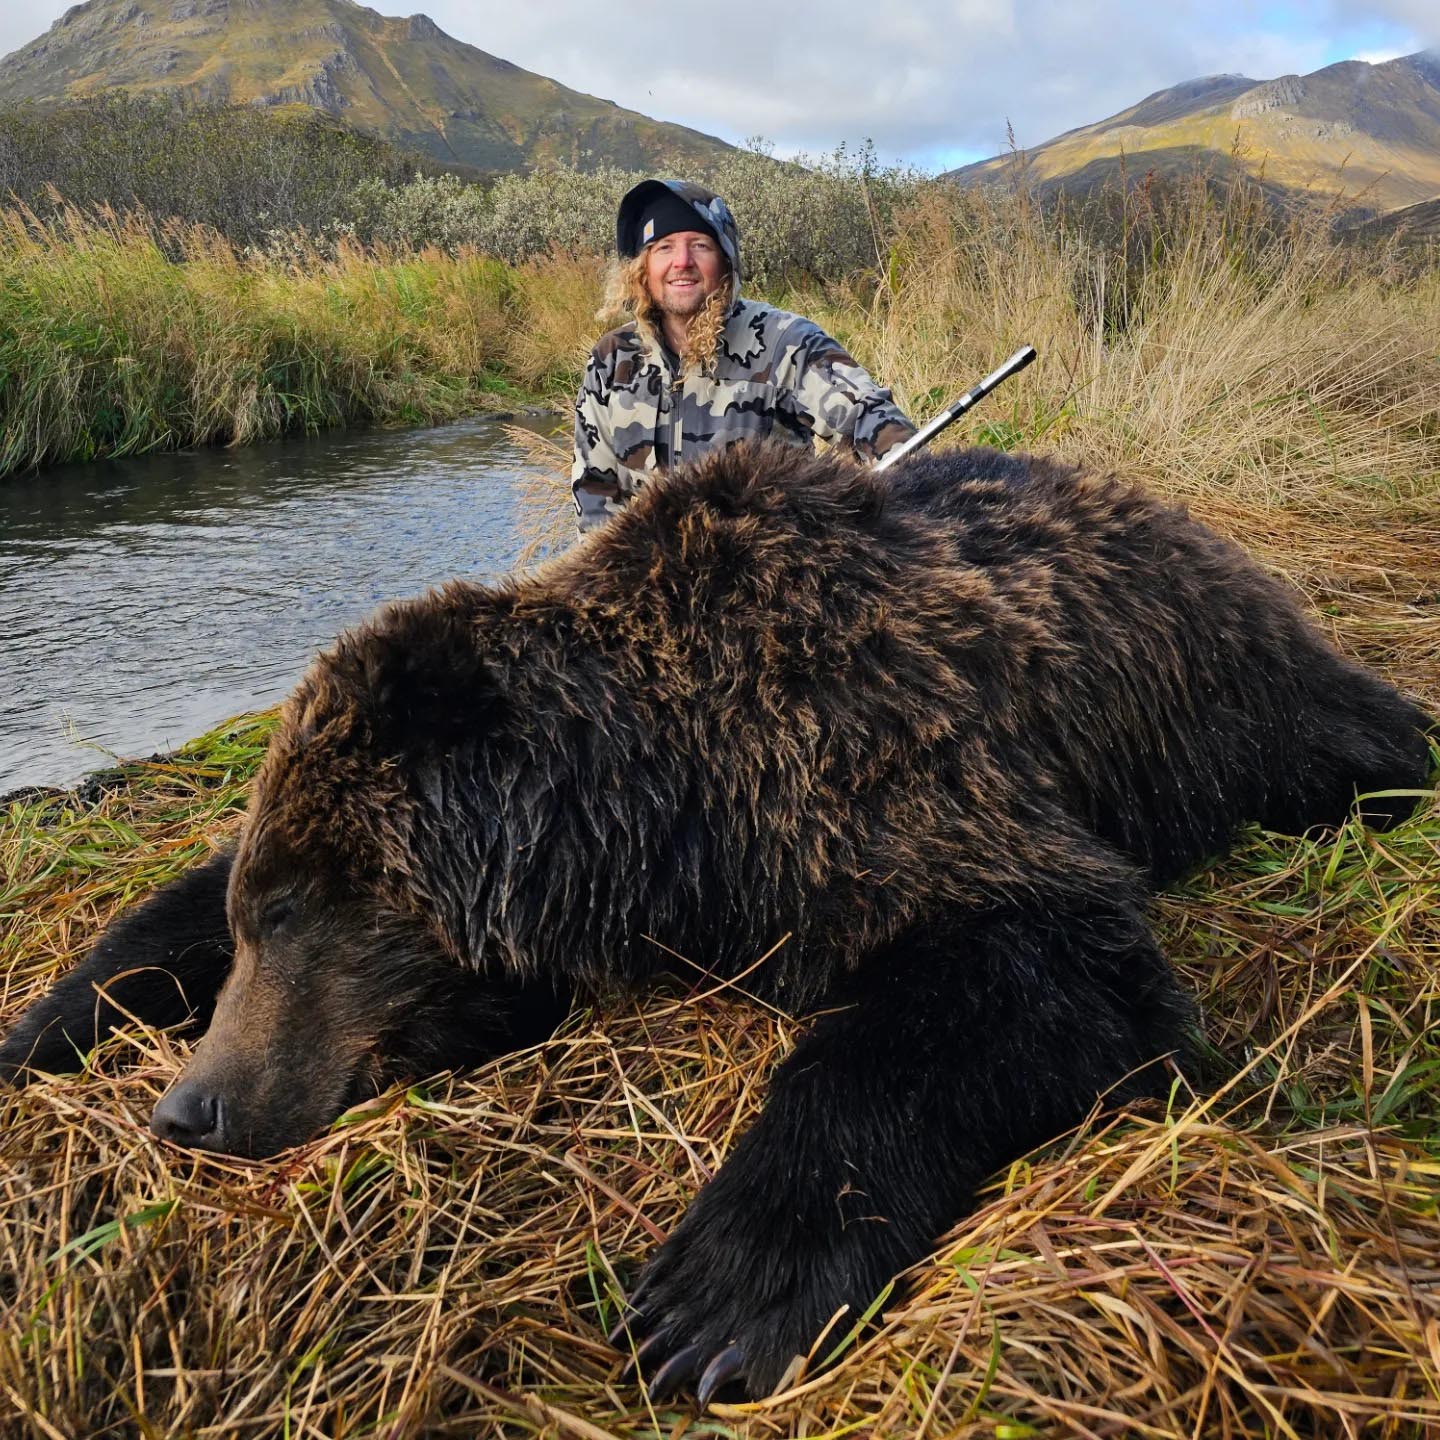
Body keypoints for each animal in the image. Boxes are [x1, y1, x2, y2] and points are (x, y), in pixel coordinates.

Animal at [5, 440, 1434, 1405]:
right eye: (260, 915)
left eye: (307, 914)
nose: (189, 1112)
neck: (669, 795)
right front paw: (43, 1020)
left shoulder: (880, 780)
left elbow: (1030, 967)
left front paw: (716, 1298)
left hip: (1240, 702)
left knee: (1354, 742)